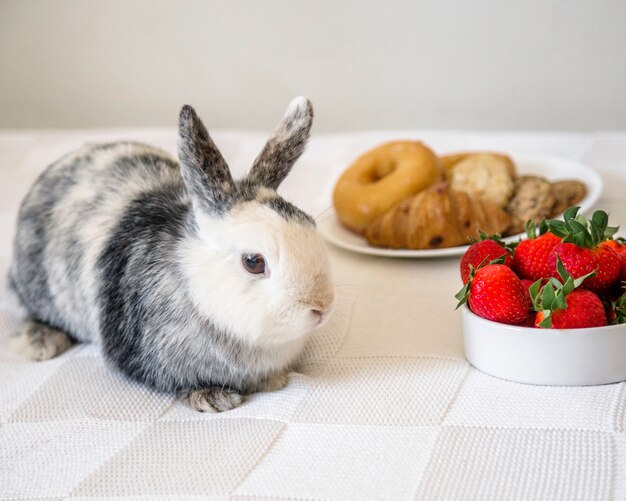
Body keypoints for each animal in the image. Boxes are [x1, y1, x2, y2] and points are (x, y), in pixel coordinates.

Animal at [7, 96, 334, 410]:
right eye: (253, 262)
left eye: (311, 224)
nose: (321, 307)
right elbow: (179, 385)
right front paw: (213, 398)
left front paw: (274, 380)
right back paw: (41, 343)